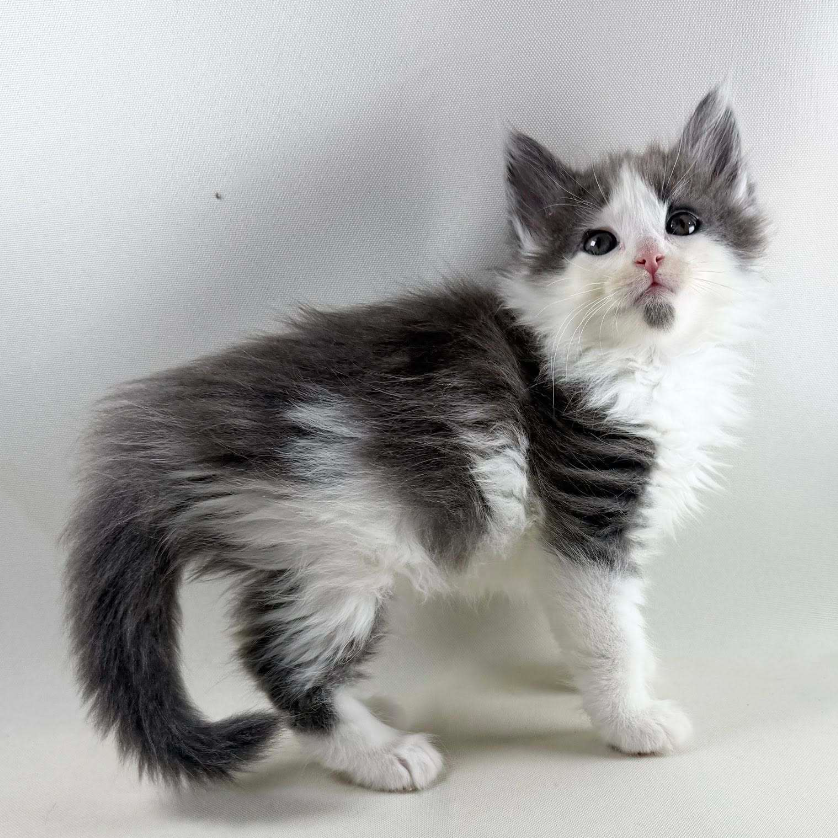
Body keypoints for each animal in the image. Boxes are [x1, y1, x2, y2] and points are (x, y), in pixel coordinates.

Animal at [64, 87, 767, 792]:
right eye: (600, 242)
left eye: (683, 223)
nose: (650, 257)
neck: (645, 363)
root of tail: (167, 429)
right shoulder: (584, 511)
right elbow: (606, 630)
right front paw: (633, 718)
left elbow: (603, 619)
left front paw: (626, 677)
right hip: (336, 544)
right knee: (282, 664)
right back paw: (382, 754)